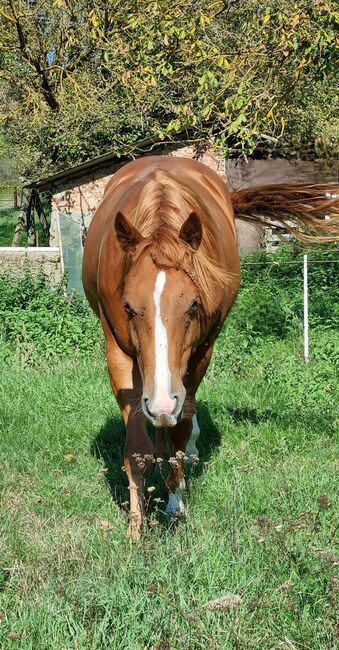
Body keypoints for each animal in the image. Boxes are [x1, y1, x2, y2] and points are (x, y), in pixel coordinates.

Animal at [83, 156, 339, 536]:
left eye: (193, 305)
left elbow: (180, 428)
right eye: (128, 307)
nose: (161, 403)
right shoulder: (119, 354)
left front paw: (175, 504)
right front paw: (135, 529)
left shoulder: (199, 354)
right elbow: (137, 449)